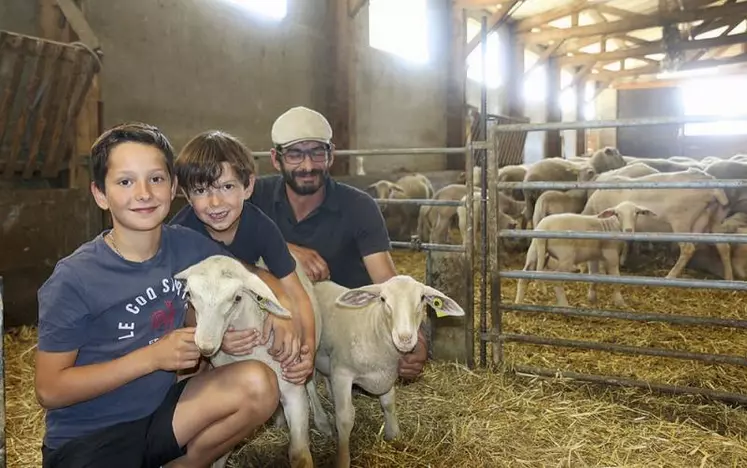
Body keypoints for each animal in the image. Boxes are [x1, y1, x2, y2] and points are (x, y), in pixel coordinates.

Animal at [178, 256, 324, 468]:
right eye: (189, 294)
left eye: (237, 298)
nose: (205, 346)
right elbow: (221, 453)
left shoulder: (294, 393)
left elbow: (300, 456)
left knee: (310, 379)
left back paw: (322, 419)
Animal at [306, 276, 464, 466]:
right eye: (383, 299)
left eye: (421, 298)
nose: (405, 338)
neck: (374, 329)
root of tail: (317, 284)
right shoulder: (342, 373)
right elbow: (345, 418)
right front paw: (343, 459)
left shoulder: (387, 375)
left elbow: (388, 404)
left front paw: (394, 435)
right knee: (309, 385)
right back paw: (322, 421)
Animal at [516, 200, 660, 308]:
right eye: (617, 214)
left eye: (636, 213)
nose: (629, 230)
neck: (612, 226)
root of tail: (544, 228)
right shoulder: (611, 255)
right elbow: (616, 277)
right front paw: (620, 302)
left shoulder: (594, 257)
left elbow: (594, 275)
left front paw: (592, 297)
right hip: (566, 257)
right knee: (557, 280)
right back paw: (564, 306)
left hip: (534, 251)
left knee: (524, 276)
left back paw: (518, 303)